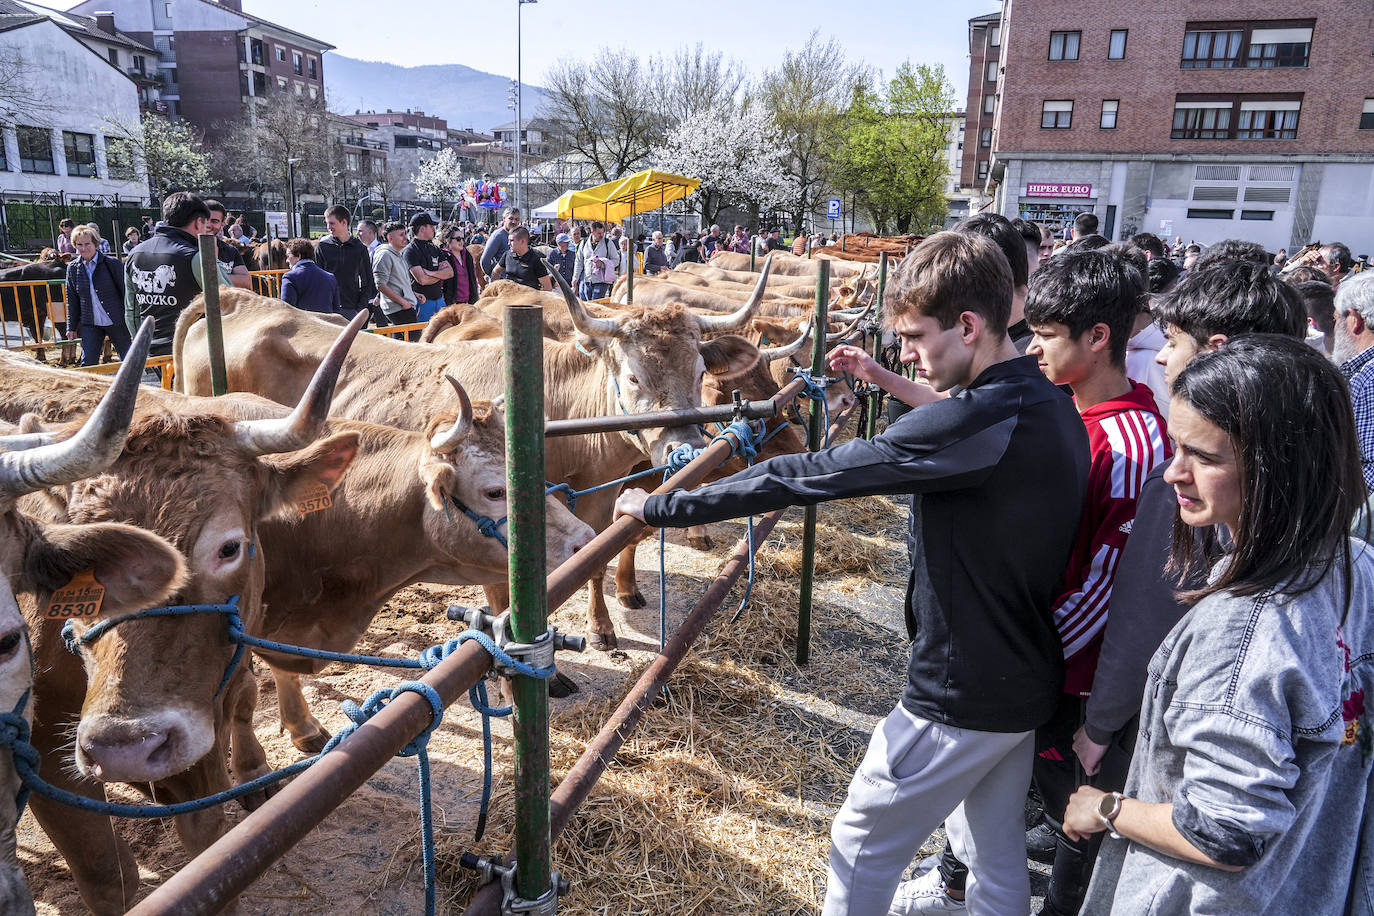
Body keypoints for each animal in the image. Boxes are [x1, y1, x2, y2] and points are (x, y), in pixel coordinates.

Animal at [13, 317, 365, 916]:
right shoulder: (42, 756)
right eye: (84, 559)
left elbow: (209, 842)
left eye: (229, 546)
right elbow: (109, 876)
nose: (126, 748)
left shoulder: (204, 721)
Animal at [173, 266, 774, 650]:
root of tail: (237, 300)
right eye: (632, 377)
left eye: (700, 372)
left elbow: (601, 557)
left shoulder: (597, 500)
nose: (683, 448)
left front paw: (606, 621)